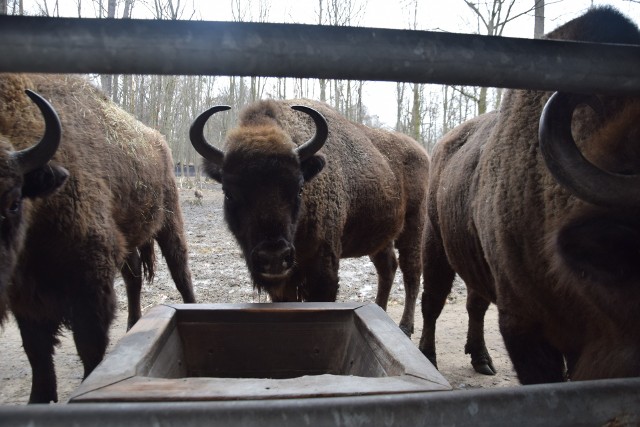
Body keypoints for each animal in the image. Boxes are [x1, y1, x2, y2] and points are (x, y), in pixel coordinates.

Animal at [0, 74, 195, 404]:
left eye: (13, 201)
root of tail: (157, 140)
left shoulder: (89, 280)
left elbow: (89, 345)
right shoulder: (24, 293)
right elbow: (36, 351)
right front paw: (40, 398)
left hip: (169, 220)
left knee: (180, 270)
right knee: (133, 279)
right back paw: (132, 325)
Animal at [190, 98, 430, 336]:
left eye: (299, 189)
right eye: (228, 193)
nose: (274, 256)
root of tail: (421, 151)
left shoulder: (323, 270)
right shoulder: (284, 283)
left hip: (413, 226)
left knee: (411, 272)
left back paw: (405, 327)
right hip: (380, 238)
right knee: (387, 268)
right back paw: (380, 309)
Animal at [418, 6, 640, 386]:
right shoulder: (523, 326)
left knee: (475, 303)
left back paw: (482, 358)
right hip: (435, 245)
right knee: (432, 301)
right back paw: (428, 356)